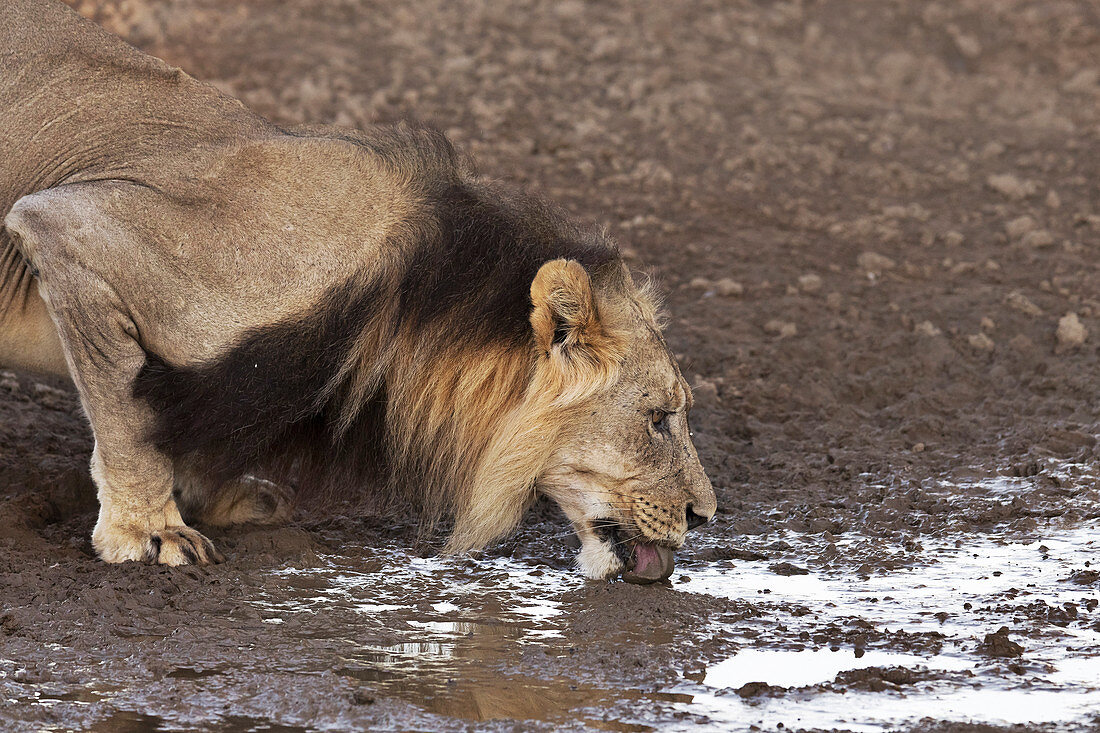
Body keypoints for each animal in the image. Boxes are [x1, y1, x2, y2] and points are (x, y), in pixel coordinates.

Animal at [0, 0, 717, 581]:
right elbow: (131, 421)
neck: (403, 310)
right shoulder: (72, 229)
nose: (704, 514)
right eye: (659, 418)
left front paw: (219, 498)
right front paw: (149, 529)